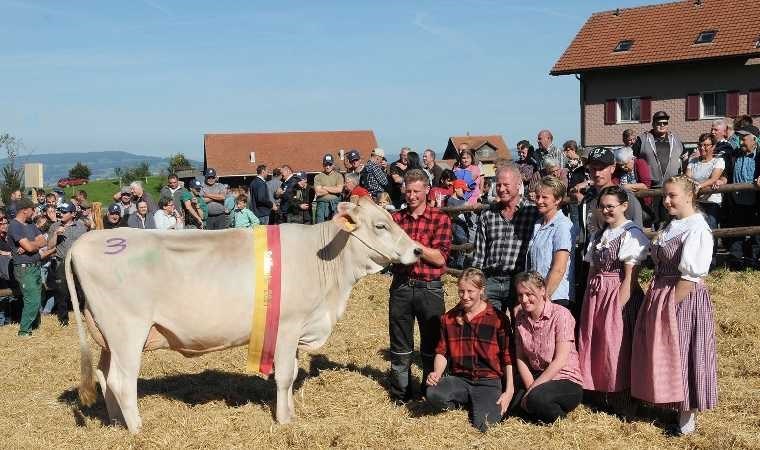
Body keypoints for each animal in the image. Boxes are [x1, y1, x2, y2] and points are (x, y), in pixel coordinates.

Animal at [68, 199, 424, 434]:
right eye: (380, 225)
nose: (418, 250)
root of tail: (87, 240)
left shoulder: (295, 331)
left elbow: (293, 372)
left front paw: (290, 413)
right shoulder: (288, 325)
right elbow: (285, 376)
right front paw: (283, 421)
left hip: (107, 336)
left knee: (104, 376)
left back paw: (116, 423)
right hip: (127, 331)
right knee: (121, 381)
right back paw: (138, 430)